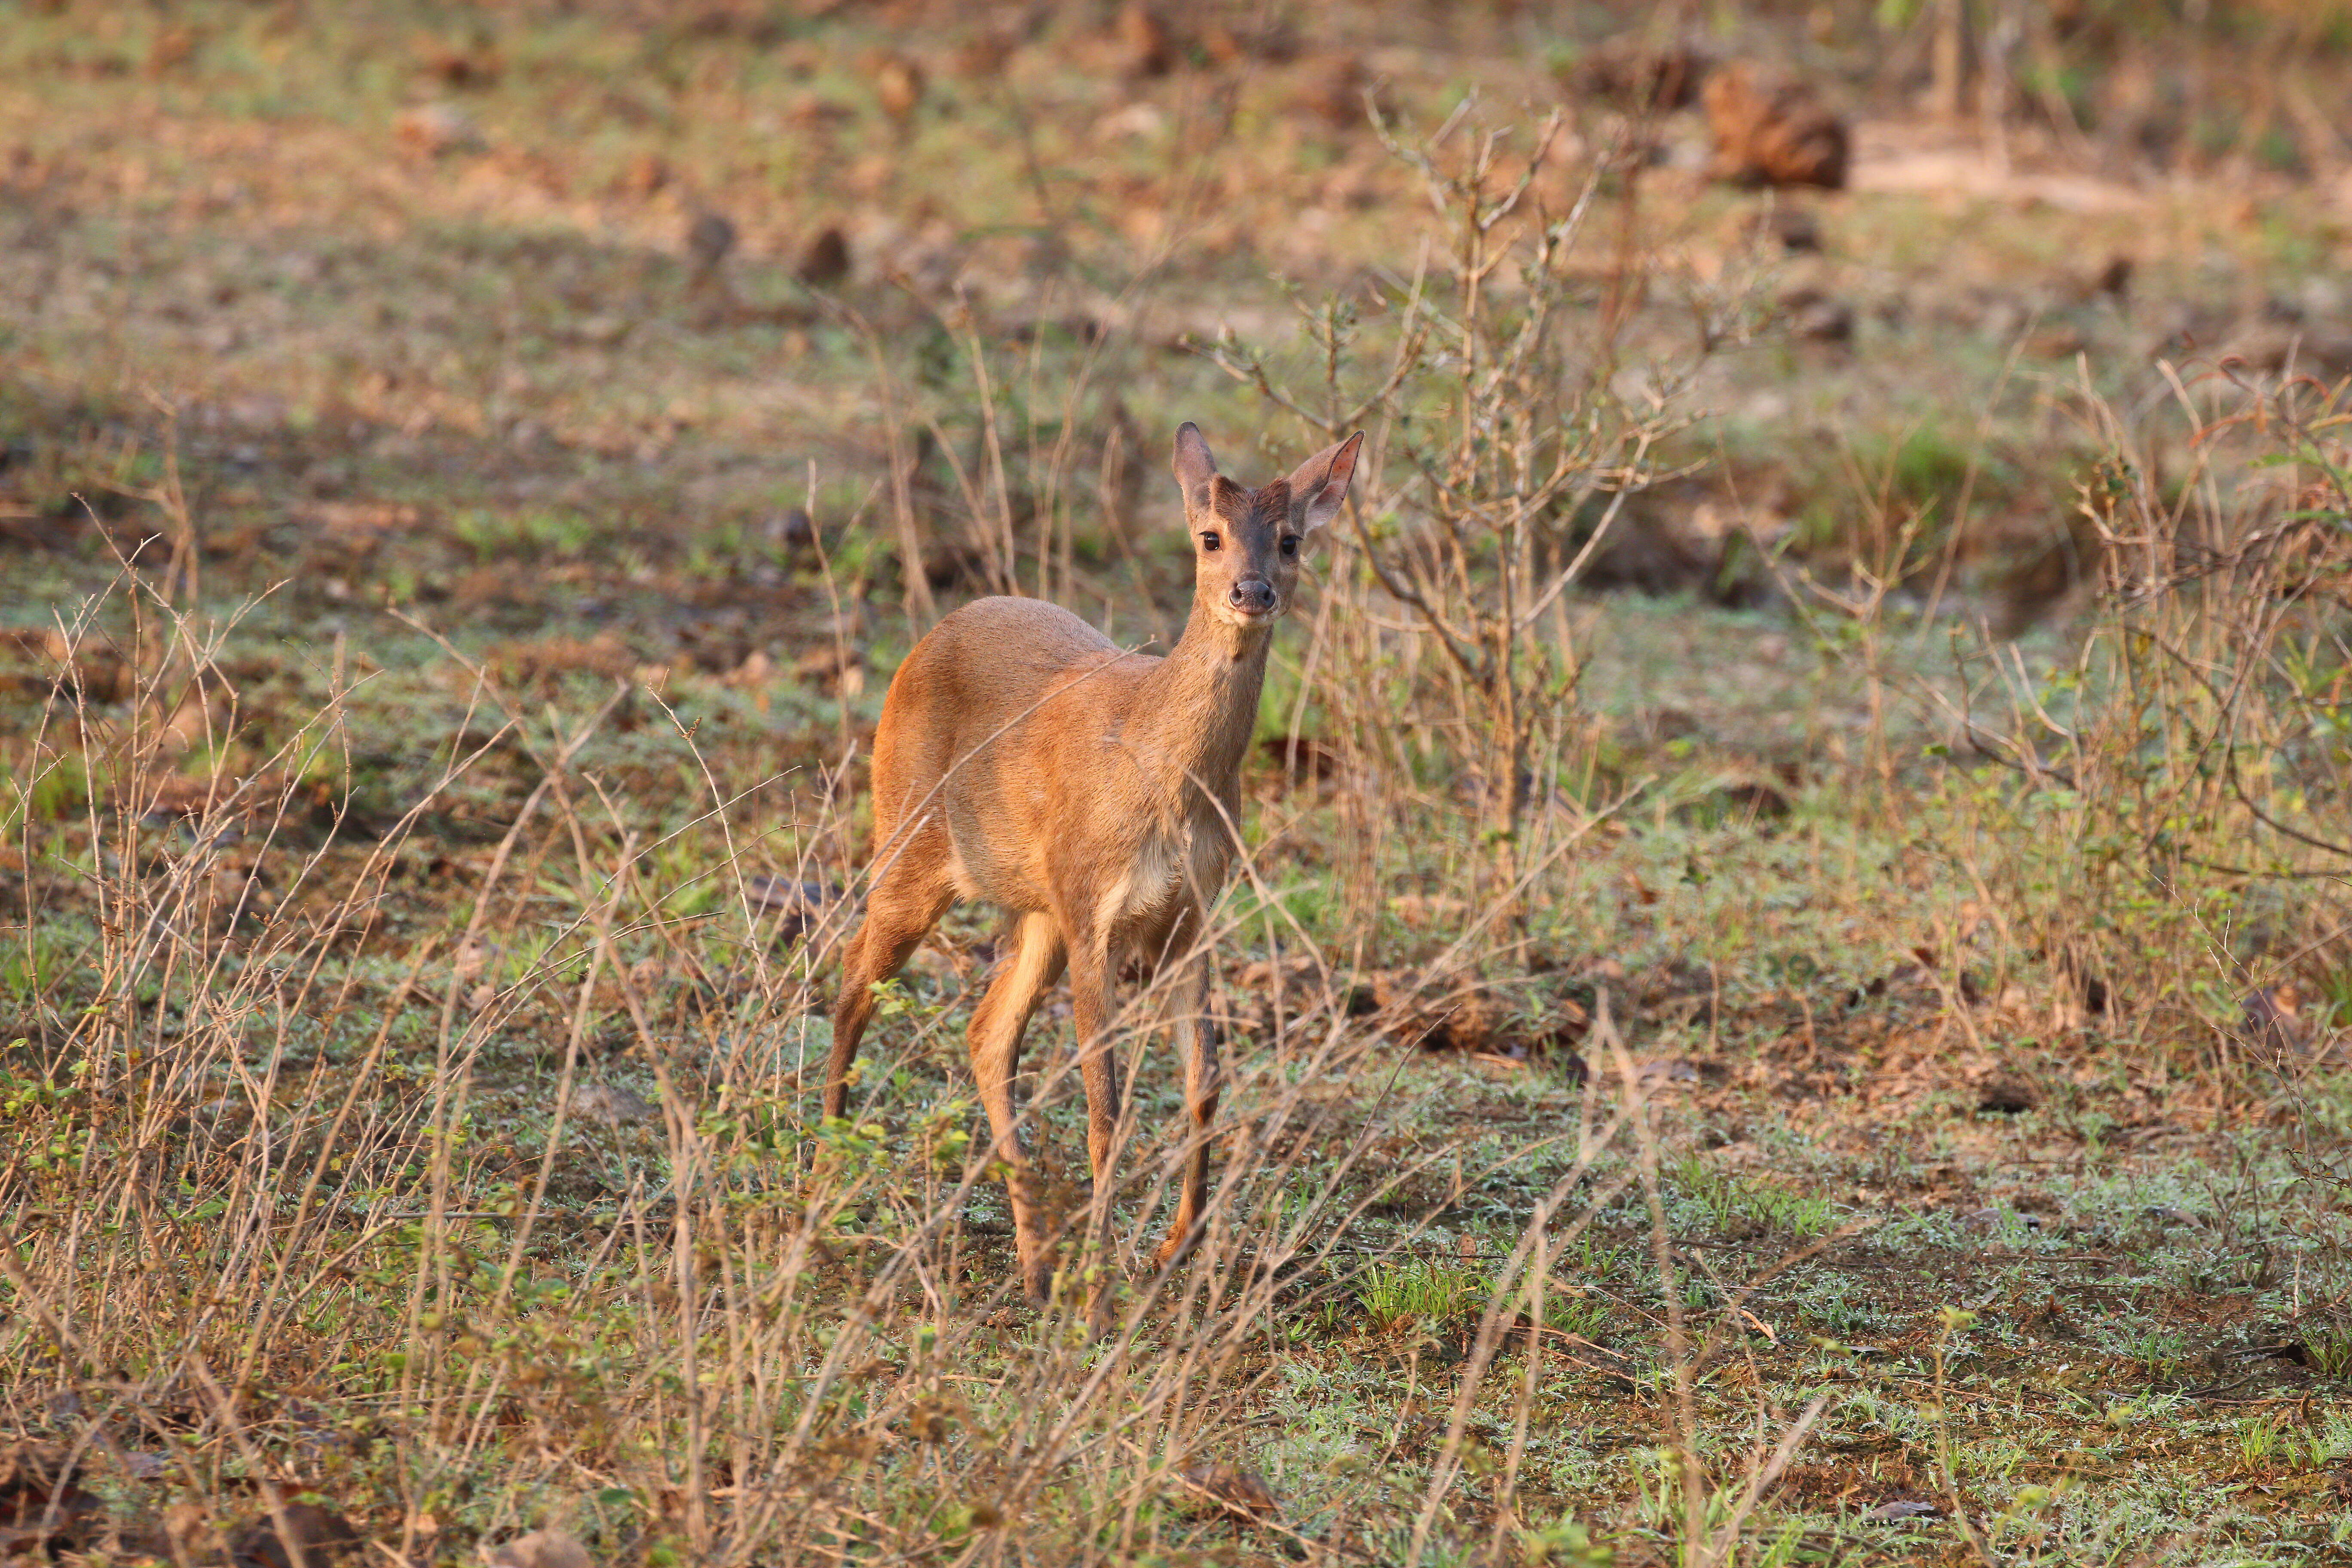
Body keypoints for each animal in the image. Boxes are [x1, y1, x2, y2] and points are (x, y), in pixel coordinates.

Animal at [823, 416, 1364, 1298]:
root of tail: (925, 641)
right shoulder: (1095, 913)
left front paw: (1174, 1247)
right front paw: (1103, 1281)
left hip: (1038, 908)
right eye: (1209, 536)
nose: (1252, 593)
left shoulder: (1190, 915)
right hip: (909, 840)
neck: (1164, 778)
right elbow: (1106, 1106)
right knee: (853, 980)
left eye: (1290, 540)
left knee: (985, 1032)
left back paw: (1034, 1258)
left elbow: (1204, 1086)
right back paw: (827, 1180)